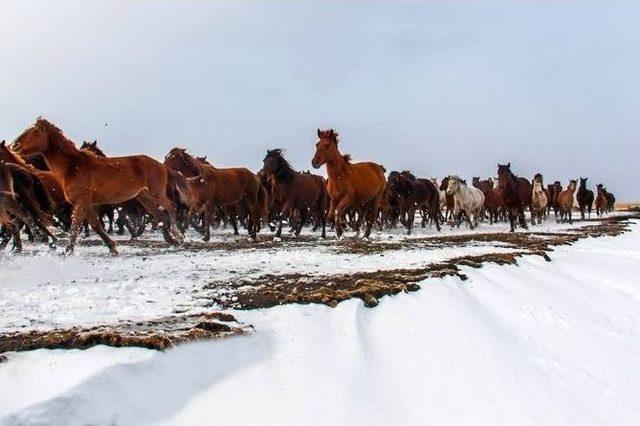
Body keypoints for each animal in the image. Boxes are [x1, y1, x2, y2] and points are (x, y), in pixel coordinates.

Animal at [11, 118, 182, 255]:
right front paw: (112, 248)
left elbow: (75, 226)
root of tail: (161, 165)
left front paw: (67, 251)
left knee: (171, 207)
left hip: (156, 193)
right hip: (144, 196)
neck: (73, 168)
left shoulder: (81, 202)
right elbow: (96, 226)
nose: (14, 145)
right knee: (159, 215)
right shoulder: (88, 204)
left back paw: (178, 235)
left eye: (35, 132)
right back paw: (172, 241)